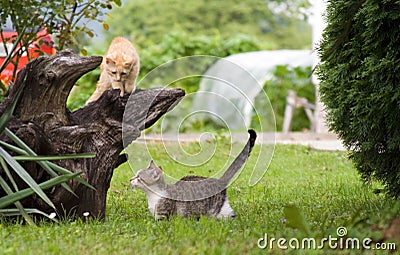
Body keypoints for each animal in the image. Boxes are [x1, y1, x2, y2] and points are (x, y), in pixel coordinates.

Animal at [130, 129, 258, 219]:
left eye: (139, 177)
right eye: (135, 175)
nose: (130, 179)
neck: (152, 196)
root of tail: (219, 181)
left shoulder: (163, 215)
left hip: (213, 209)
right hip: (224, 208)